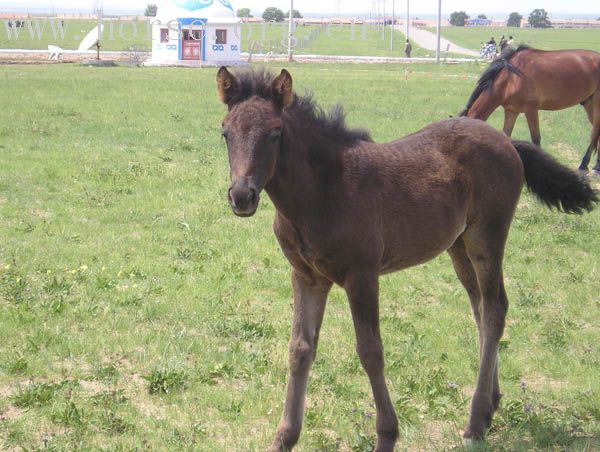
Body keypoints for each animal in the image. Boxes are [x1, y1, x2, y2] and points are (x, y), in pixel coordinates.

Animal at [216, 65, 596, 450]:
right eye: (225, 132)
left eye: (275, 133)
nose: (242, 196)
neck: (323, 190)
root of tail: (507, 143)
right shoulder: (306, 276)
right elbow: (299, 349)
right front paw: (284, 437)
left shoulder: (362, 276)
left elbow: (370, 351)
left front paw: (387, 434)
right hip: (459, 247)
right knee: (480, 309)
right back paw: (490, 406)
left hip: (486, 237)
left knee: (494, 311)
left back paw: (474, 423)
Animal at [462, 45, 600, 173]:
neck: (511, 78)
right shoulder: (511, 111)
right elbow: (506, 136)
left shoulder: (531, 110)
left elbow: (536, 139)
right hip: (588, 104)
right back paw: (595, 167)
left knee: (595, 132)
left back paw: (585, 166)